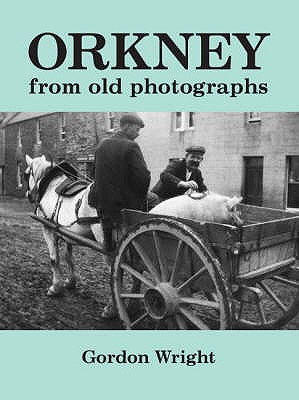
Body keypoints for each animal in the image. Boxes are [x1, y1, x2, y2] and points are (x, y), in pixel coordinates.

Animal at [23, 155, 103, 296]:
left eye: (26, 174)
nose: (29, 195)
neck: (51, 185)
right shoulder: (67, 233)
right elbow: (68, 257)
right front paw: (70, 282)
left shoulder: (48, 228)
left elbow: (54, 259)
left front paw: (55, 287)